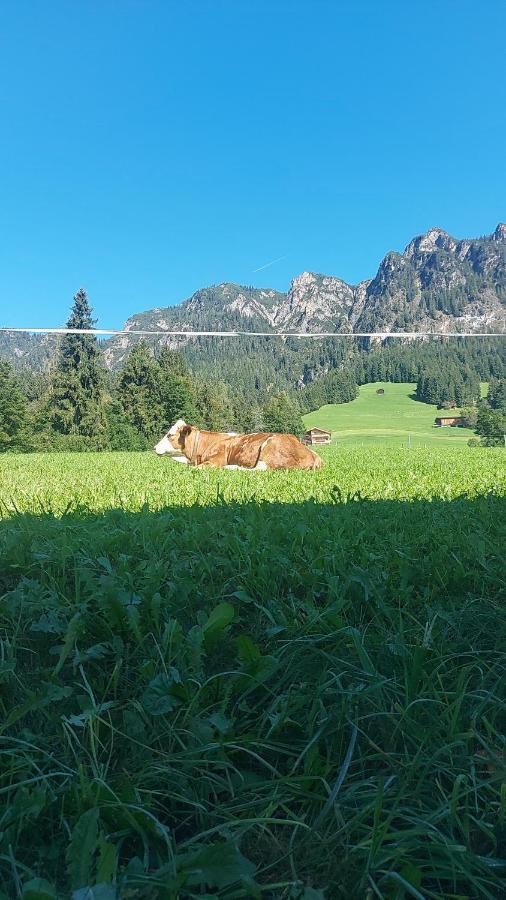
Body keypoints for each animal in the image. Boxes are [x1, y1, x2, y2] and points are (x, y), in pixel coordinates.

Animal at [152, 418, 324, 472]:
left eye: (170, 434)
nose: (154, 448)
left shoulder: (215, 461)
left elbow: (196, 468)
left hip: (268, 448)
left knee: (258, 469)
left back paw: (232, 467)